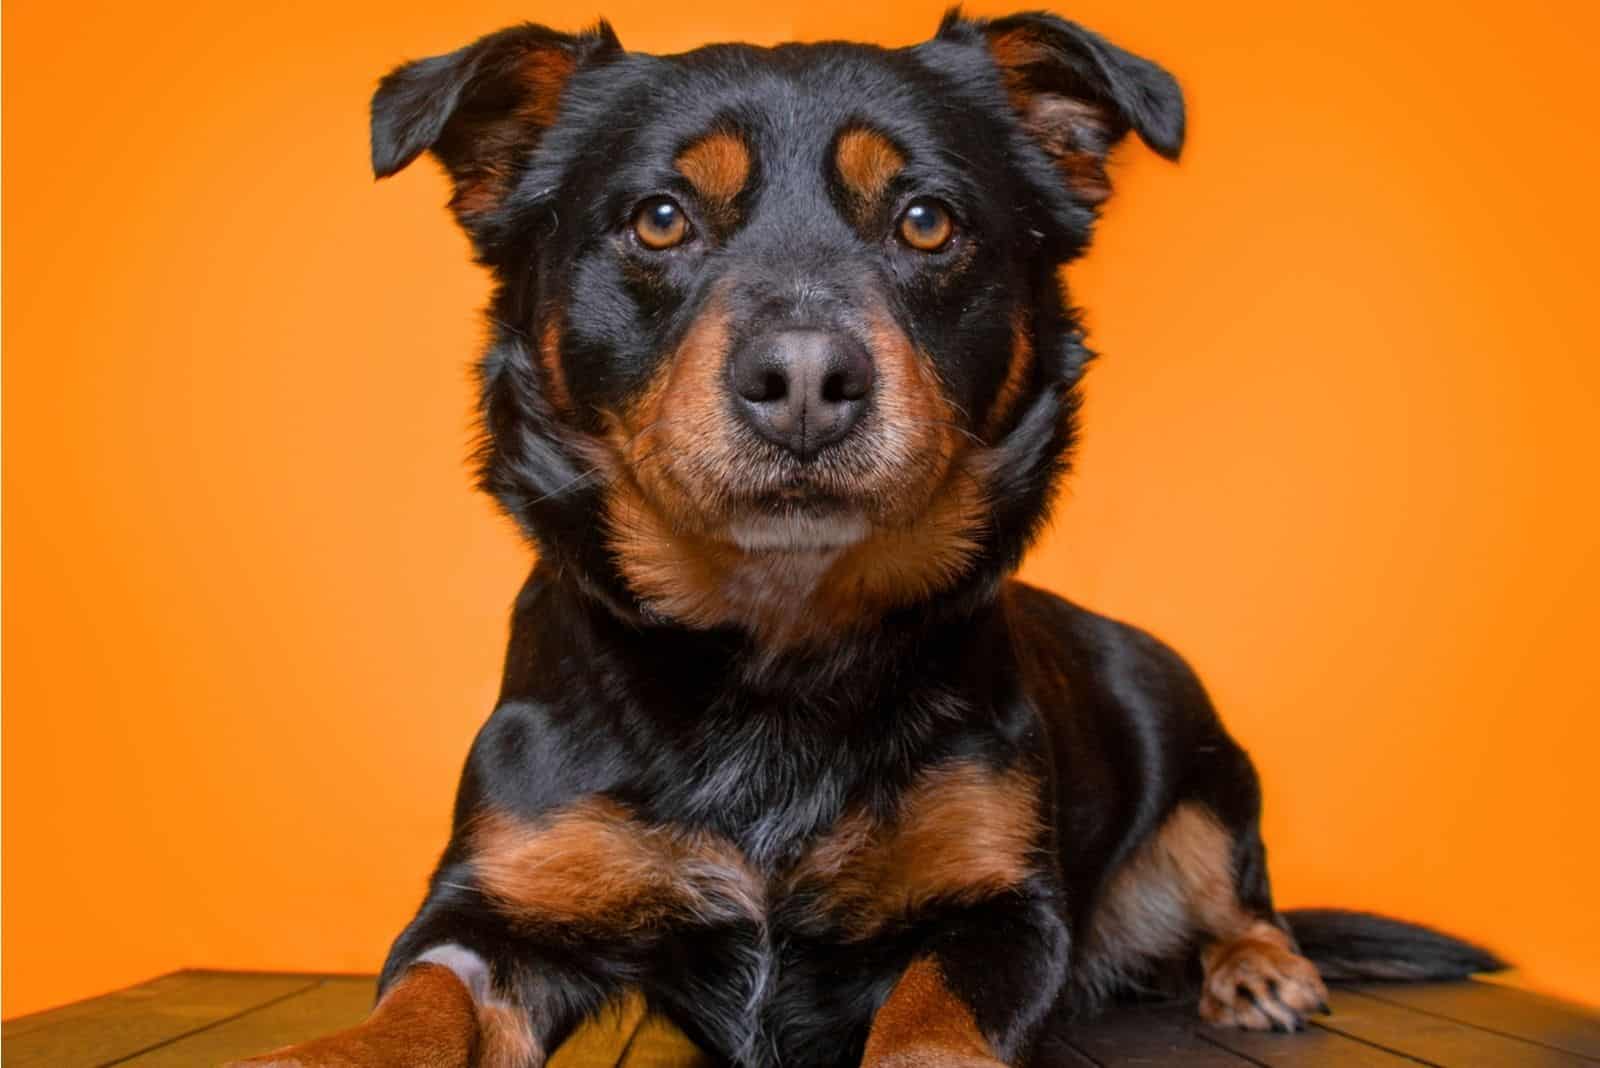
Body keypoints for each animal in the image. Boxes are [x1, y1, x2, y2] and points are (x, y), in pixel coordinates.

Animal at [233, 10, 1497, 1068]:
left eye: (926, 221)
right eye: (659, 218)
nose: (803, 376)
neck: (772, 656)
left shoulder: (999, 910)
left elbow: (930, 1025)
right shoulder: (493, 908)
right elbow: (422, 999)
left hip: (1203, 770)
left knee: (1244, 899)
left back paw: (1259, 968)